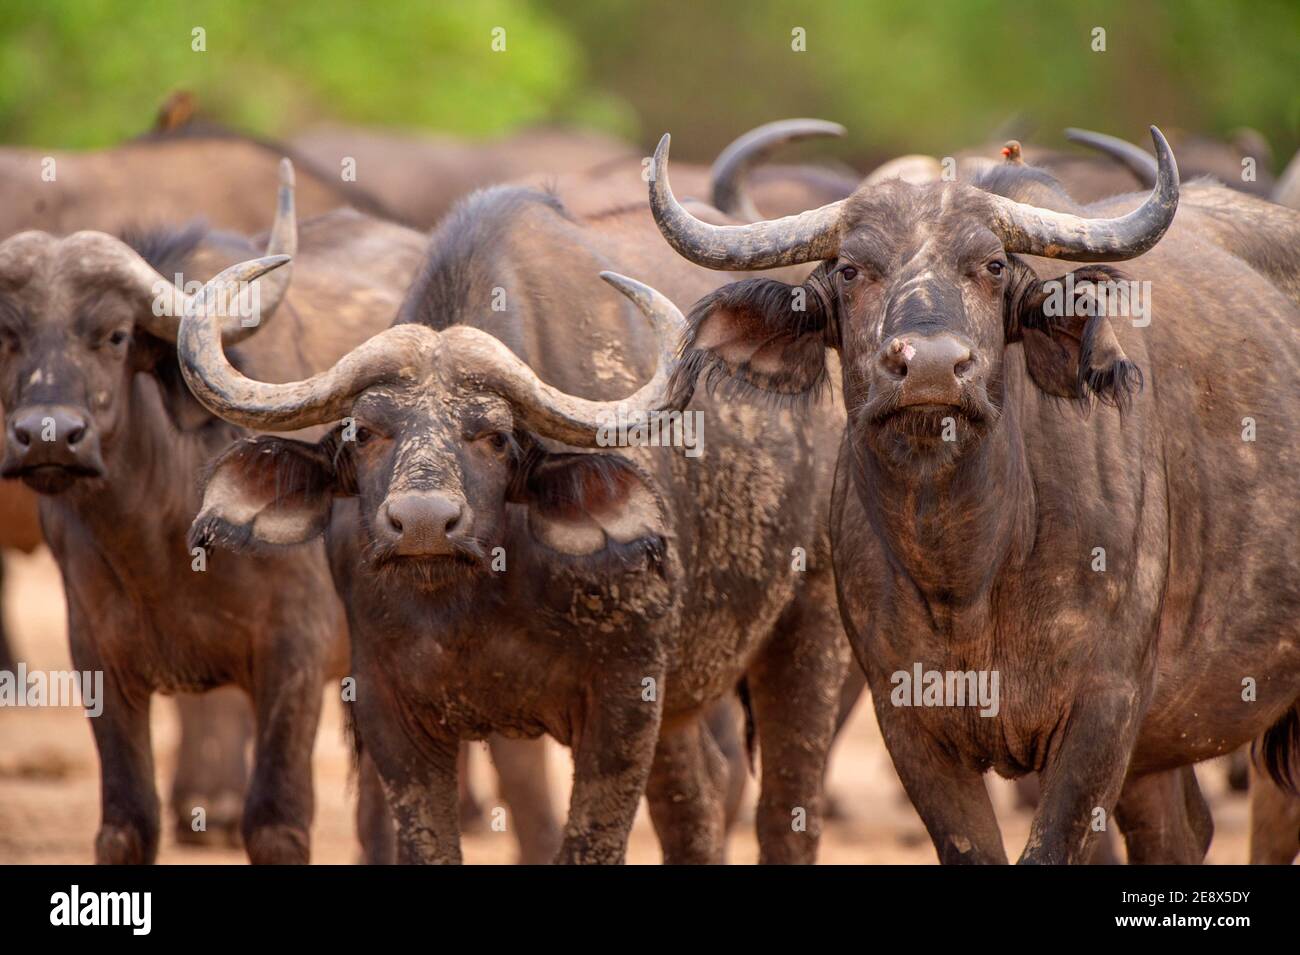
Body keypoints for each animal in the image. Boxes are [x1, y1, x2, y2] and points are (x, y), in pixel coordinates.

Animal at [644, 128, 1294, 867]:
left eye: (992, 265)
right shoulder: (909, 723)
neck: (971, 568)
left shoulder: (1105, 714)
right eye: (850, 269)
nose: (930, 366)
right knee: (1180, 829)